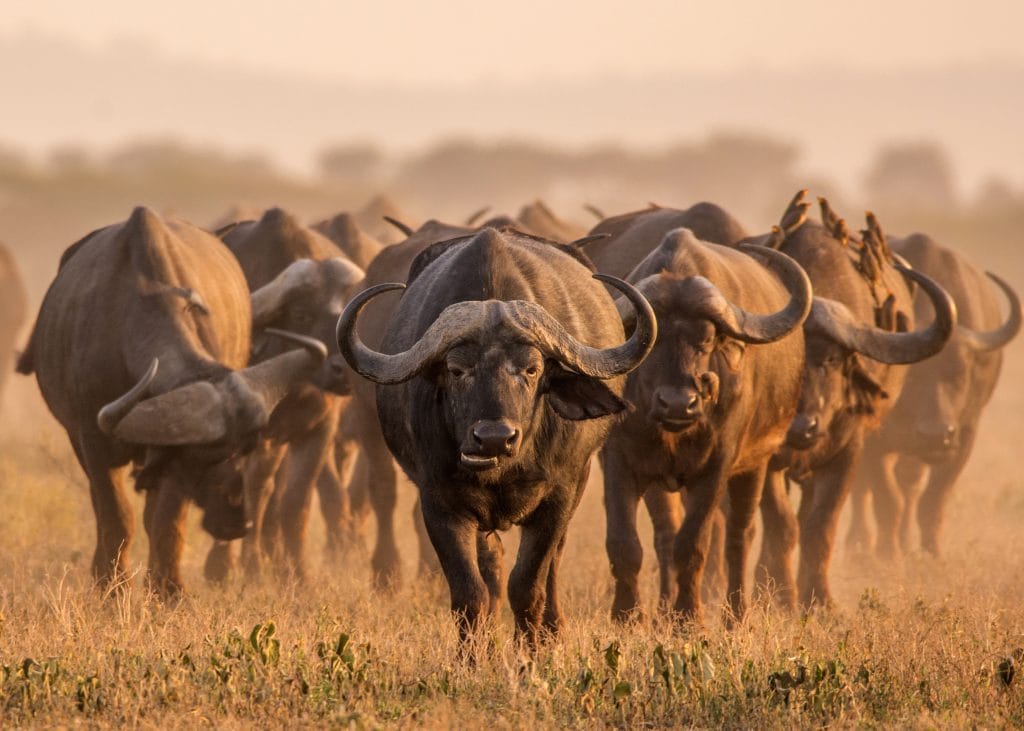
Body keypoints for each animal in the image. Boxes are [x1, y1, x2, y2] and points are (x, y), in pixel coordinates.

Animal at [18, 204, 325, 593]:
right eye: (204, 455)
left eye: (245, 449)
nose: (237, 521)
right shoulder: (93, 440)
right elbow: (116, 515)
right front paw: (112, 587)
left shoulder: (169, 462)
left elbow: (166, 520)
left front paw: (168, 589)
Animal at [335, 226, 655, 638]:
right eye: (457, 370)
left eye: (532, 369)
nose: (493, 437)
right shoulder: (440, 504)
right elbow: (470, 592)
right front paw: (474, 650)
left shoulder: (557, 498)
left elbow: (529, 586)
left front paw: (532, 647)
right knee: (492, 567)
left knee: (552, 564)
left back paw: (552, 627)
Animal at [598, 227, 811, 622]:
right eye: (651, 340)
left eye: (707, 338)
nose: (678, 403)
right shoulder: (618, 461)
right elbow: (624, 543)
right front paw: (627, 616)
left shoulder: (716, 467)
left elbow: (693, 543)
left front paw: (688, 618)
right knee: (665, 535)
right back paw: (663, 610)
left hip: (756, 464)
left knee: (740, 536)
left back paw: (735, 614)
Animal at [761, 201, 958, 606]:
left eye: (832, 359)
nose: (802, 427)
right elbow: (780, 525)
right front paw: (782, 597)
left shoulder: (850, 451)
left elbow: (820, 525)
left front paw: (819, 600)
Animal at [843, 233, 1019, 556]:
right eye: (910, 377)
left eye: (960, 374)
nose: (935, 435)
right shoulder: (872, 439)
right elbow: (886, 498)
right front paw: (887, 553)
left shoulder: (964, 436)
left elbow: (932, 500)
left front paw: (931, 552)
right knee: (864, 490)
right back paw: (860, 542)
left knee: (909, 483)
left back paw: (904, 539)